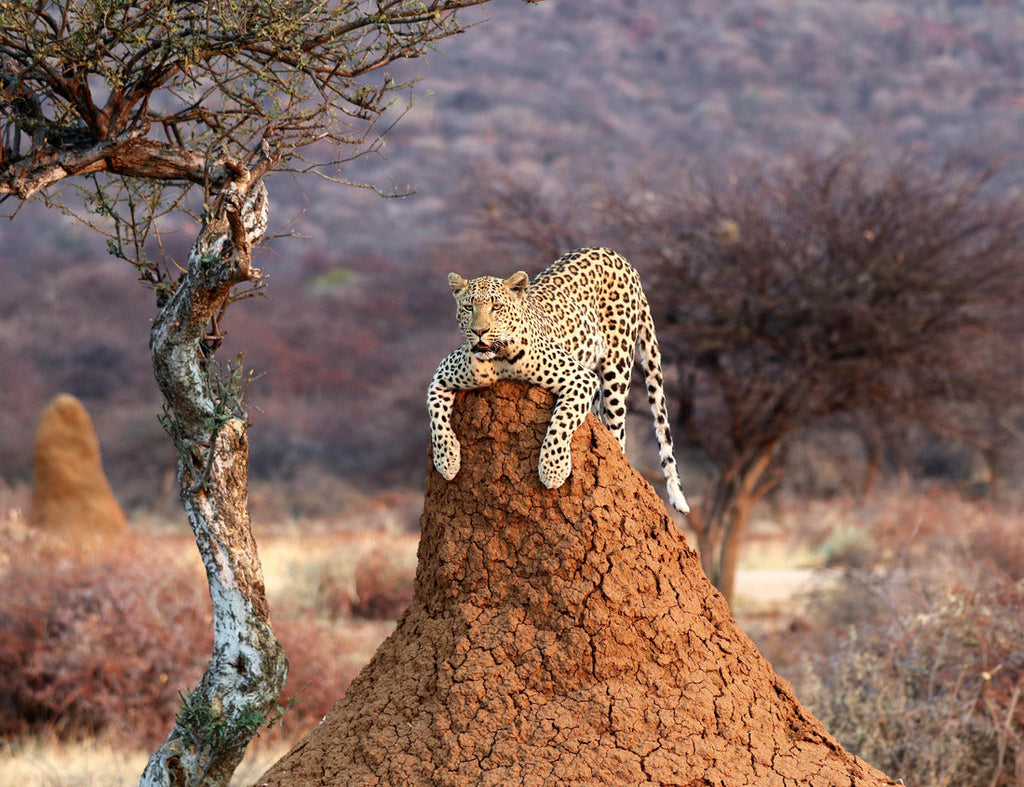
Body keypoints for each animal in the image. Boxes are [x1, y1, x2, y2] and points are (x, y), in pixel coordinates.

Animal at [427, 247, 689, 514]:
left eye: (497, 306)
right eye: (468, 307)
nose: (479, 331)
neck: (499, 358)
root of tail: (617, 255)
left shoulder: (580, 378)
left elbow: (562, 420)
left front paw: (553, 470)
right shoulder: (441, 377)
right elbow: (436, 418)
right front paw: (447, 461)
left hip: (617, 367)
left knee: (618, 433)